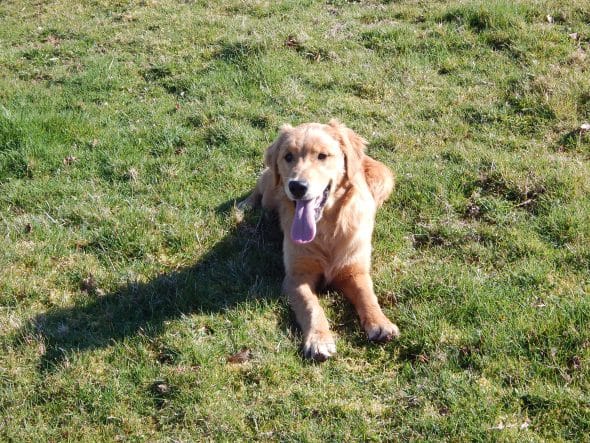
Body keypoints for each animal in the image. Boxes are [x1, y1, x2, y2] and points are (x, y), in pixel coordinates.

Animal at [240, 120, 402, 360]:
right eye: (288, 156)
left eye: (322, 156)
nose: (297, 186)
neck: (325, 228)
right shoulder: (297, 276)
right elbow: (312, 307)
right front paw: (319, 340)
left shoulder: (354, 269)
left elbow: (367, 295)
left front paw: (380, 323)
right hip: (271, 192)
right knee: (260, 187)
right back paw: (245, 205)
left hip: (384, 179)